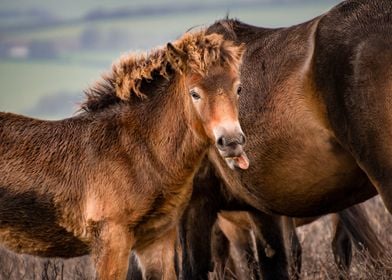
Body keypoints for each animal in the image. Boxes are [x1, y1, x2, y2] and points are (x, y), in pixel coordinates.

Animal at [0, 30, 248, 280]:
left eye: (238, 89)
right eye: (195, 93)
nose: (231, 141)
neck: (136, 151)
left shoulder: (157, 239)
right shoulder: (112, 239)